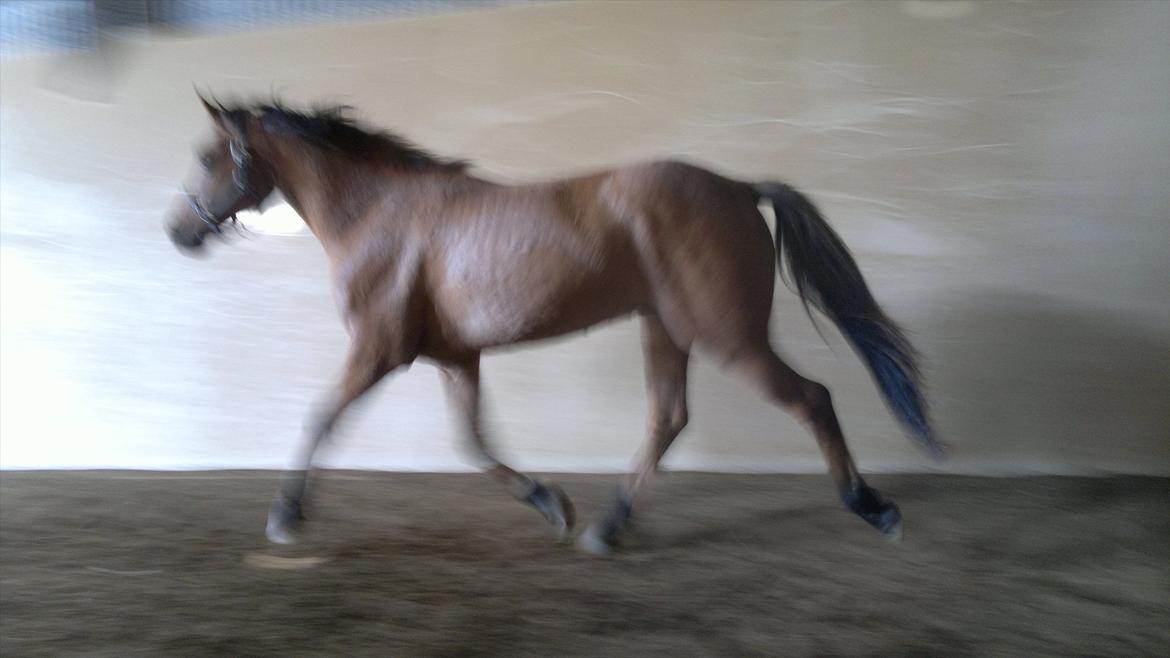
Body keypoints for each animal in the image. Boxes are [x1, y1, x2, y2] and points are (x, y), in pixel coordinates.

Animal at [165, 95, 943, 555]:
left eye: (207, 157)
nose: (178, 233)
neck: (379, 216)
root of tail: (739, 188)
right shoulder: (456, 358)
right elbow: (472, 442)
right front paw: (550, 503)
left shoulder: (377, 350)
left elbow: (322, 416)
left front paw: (285, 516)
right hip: (666, 330)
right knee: (669, 417)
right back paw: (605, 526)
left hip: (729, 337)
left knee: (811, 399)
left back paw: (873, 507)